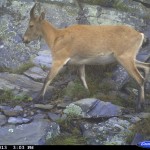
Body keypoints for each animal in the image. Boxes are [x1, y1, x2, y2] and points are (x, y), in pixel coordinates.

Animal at [22, 2, 150, 112]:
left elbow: (48, 78)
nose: (24, 39)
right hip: (127, 58)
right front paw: (87, 94)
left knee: (139, 79)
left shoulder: (59, 59)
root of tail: (140, 35)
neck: (56, 37)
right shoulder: (80, 63)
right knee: (146, 66)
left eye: (31, 25)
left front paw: (38, 98)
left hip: (125, 57)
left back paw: (140, 106)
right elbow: (82, 78)